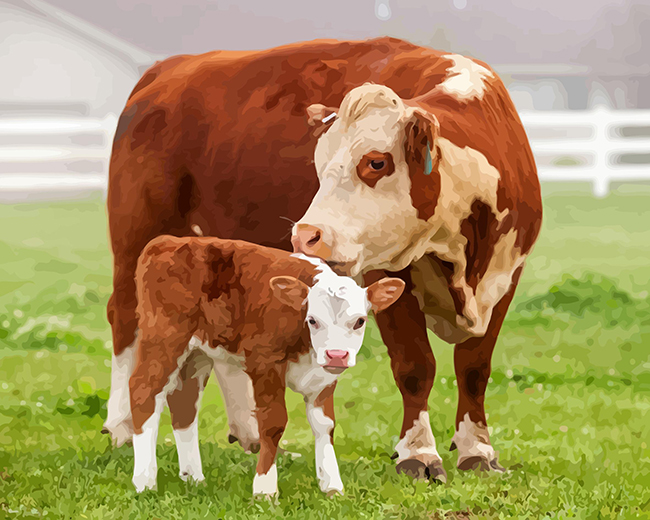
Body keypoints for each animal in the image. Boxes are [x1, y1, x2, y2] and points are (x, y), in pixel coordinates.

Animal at [127, 234, 404, 495]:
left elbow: (325, 425)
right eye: (313, 320)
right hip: (164, 339)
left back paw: (194, 478)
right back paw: (144, 481)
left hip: (197, 354)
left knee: (184, 403)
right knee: (144, 391)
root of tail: (169, 241)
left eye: (360, 321)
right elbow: (273, 424)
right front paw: (265, 489)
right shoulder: (265, 364)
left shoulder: (324, 377)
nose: (337, 355)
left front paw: (332, 486)